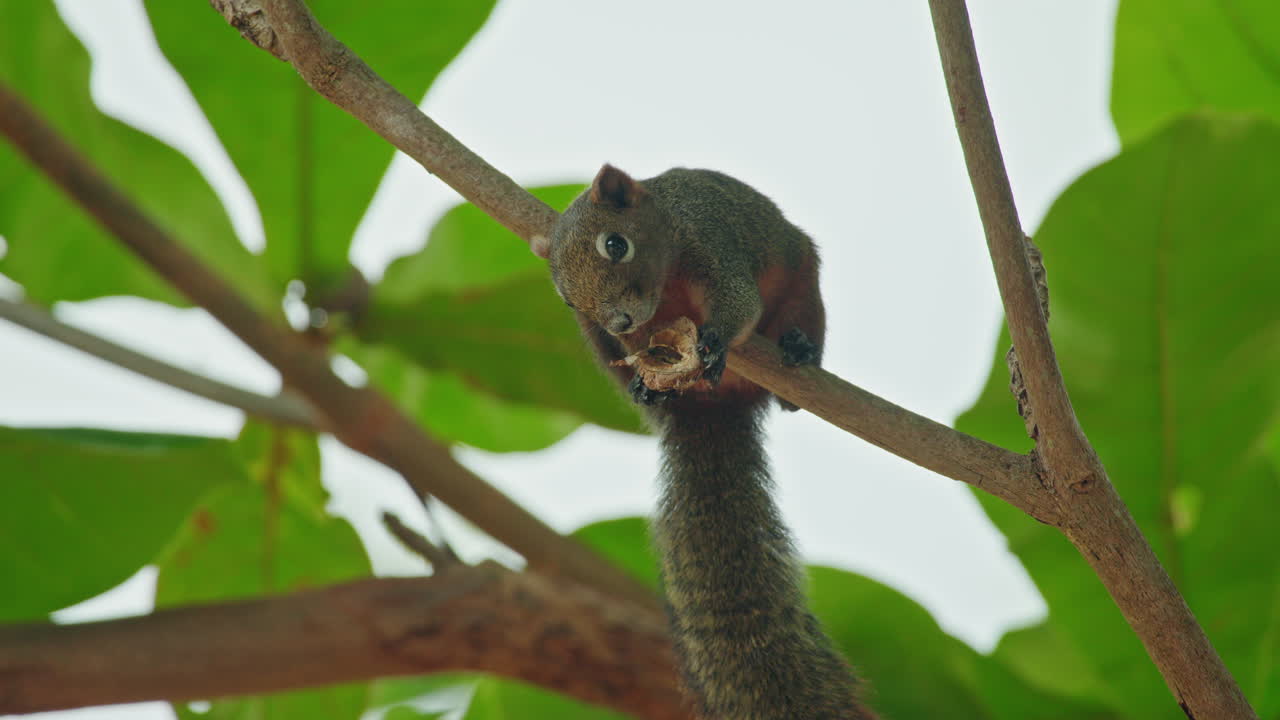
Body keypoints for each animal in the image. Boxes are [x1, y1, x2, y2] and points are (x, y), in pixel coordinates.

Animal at [534, 164, 876, 720]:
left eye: (615, 244)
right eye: (564, 296)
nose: (619, 319)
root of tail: (714, 411)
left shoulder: (713, 239)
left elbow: (738, 303)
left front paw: (715, 339)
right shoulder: (625, 336)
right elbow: (639, 348)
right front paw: (647, 374)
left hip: (803, 283)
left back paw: (798, 350)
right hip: (597, 344)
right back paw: (649, 391)